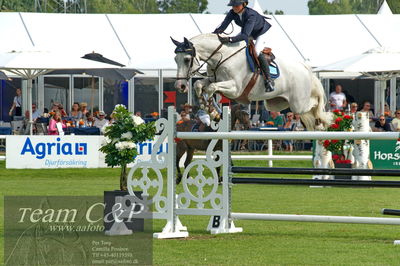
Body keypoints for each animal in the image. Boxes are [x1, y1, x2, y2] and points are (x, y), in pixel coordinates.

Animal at [172, 33, 332, 130]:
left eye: (186, 59)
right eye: (175, 59)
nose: (180, 86)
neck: (222, 56)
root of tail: (305, 68)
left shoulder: (235, 88)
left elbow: (211, 88)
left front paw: (212, 110)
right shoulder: (214, 78)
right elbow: (199, 84)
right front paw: (208, 108)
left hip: (299, 104)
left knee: (315, 105)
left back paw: (325, 118)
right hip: (277, 104)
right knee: (310, 116)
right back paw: (319, 125)